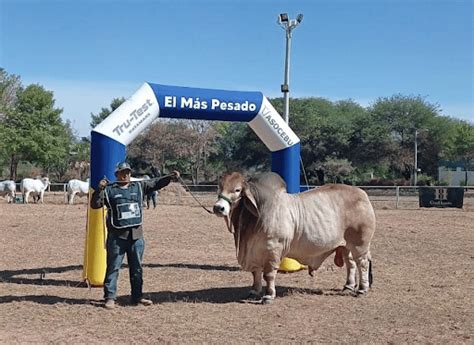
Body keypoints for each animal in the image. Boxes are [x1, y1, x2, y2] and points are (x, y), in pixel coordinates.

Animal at [213, 171, 376, 302]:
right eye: (219, 187)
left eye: (237, 189)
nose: (218, 208)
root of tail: (362, 194)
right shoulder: (255, 251)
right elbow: (256, 273)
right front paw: (254, 291)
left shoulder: (273, 249)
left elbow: (269, 274)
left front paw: (269, 295)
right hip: (346, 246)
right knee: (351, 263)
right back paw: (348, 286)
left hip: (360, 244)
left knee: (362, 263)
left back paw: (362, 289)